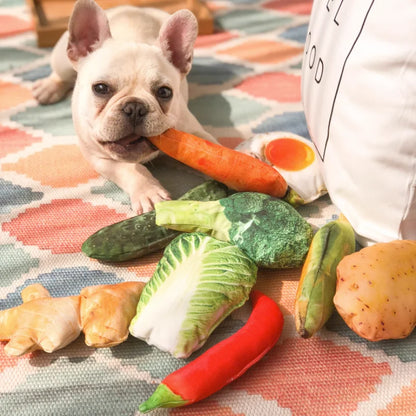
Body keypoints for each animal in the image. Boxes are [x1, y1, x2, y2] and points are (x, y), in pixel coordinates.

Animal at [33, 0, 216, 213]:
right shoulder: (98, 157)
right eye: (100, 88)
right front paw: (148, 192)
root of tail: (132, 8)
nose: (135, 107)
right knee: (59, 74)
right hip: (61, 61)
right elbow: (129, 168)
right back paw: (48, 88)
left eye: (164, 92)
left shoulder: (195, 133)